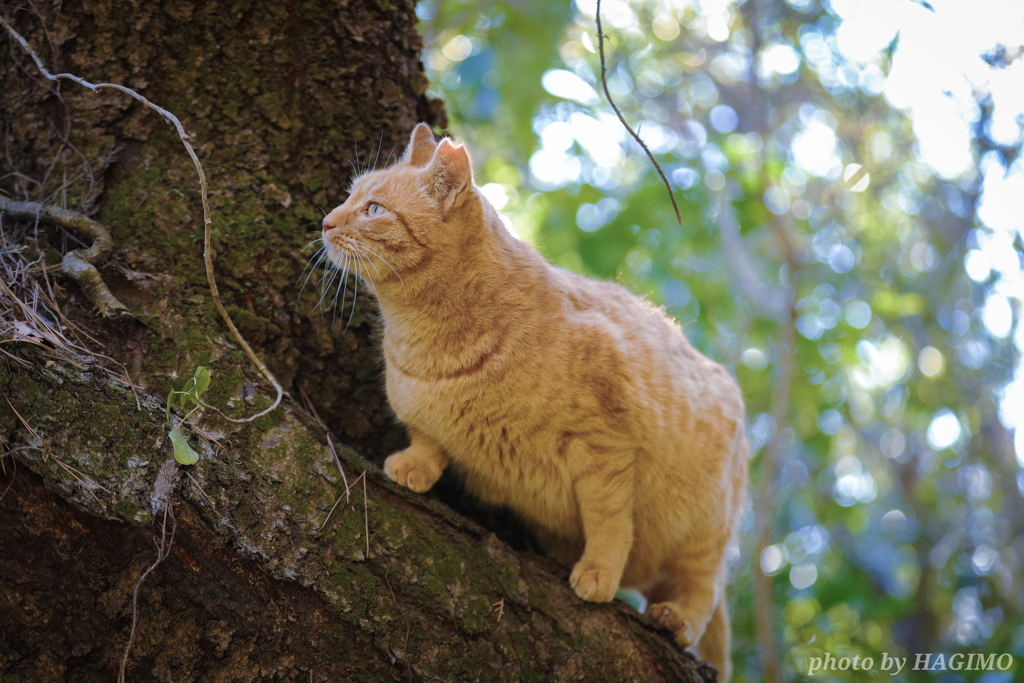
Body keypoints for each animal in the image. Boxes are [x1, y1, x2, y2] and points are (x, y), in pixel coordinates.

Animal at [323, 124, 749, 679]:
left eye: (372, 209)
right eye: (349, 195)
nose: (325, 221)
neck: (425, 344)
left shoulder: (605, 449)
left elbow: (609, 522)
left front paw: (598, 572)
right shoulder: (422, 415)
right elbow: (429, 440)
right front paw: (415, 465)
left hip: (705, 530)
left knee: (705, 589)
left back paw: (676, 617)